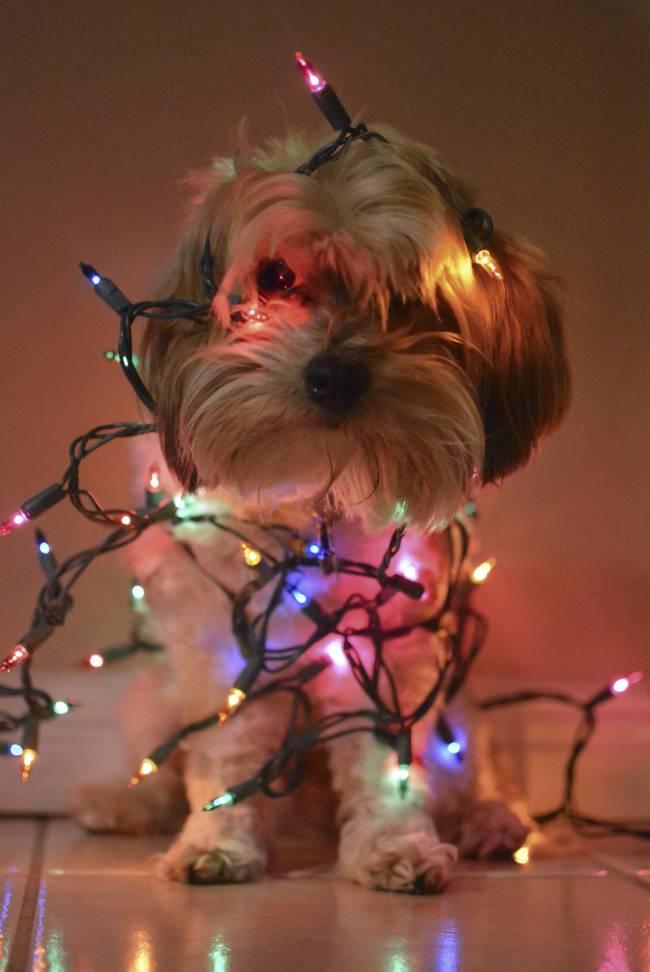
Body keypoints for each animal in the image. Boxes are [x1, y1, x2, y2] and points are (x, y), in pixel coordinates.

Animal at [69, 117, 568, 892]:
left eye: (409, 292)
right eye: (275, 277)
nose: (334, 374)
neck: (315, 493)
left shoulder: (385, 645)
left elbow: (386, 758)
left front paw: (395, 843)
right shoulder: (227, 645)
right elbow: (225, 751)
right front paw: (215, 839)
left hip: (460, 706)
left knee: (475, 768)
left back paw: (492, 822)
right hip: (157, 692)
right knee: (162, 755)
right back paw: (125, 804)